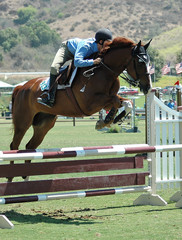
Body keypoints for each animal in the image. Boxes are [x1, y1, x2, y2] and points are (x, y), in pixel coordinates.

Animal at [10, 36, 152, 150]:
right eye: (140, 62)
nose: (148, 87)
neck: (104, 71)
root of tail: (21, 87)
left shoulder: (105, 100)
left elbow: (125, 103)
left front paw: (109, 120)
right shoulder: (90, 105)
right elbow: (116, 101)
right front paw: (108, 120)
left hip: (44, 122)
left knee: (30, 146)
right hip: (23, 121)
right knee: (14, 145)